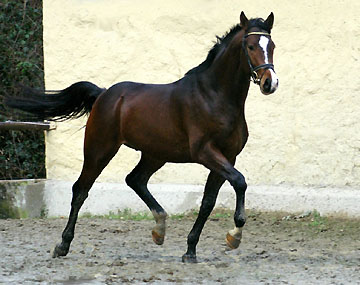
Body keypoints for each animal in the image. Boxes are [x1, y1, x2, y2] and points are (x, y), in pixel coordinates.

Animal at [4, 12, 278, 262]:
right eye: (251, 46)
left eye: (272, 46)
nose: (270, 83)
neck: (214, 96)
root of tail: (103, 94)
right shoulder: (206, 152)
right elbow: (240, 181)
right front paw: (234, 236)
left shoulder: (227, 156)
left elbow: (208, 202)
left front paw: (190, 251)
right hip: (99, 149)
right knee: (81, 189)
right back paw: (62, 245)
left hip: (155, 154)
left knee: (134, 179)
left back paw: (159, 229)